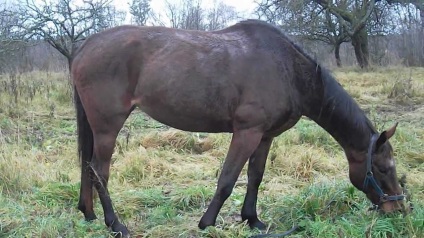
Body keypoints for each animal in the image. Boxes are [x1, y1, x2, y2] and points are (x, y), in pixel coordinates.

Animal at [70, 19, 408, 235]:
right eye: (382, 168)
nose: (399, 210)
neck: (288, 71)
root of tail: (86, 46)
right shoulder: (247, 132)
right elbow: (227, 179)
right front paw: (207, 222)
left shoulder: (265, 136)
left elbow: (255, 177)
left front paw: (252, 220)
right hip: (108, 127)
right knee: (99, 171)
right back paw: (115, 224)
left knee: (87, 167)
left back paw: (88, 214)